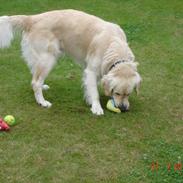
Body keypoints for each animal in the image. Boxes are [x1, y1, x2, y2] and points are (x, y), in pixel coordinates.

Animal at [0, 9, 142, 115]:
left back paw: (42, 87)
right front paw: (96, 107)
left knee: (36, 77)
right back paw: (42, 102)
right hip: (48, 58)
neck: (114, 45)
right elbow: (94, 91)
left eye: (129, 94)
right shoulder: (91, 70)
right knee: (35, 82)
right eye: (117, 93)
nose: (123, 108)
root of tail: (32, 18)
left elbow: (92, 86)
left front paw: (90, 99)